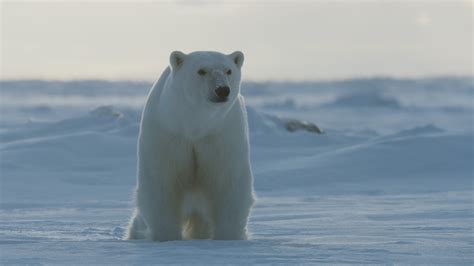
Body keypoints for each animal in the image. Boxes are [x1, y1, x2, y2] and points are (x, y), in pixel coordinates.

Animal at [124, 50, 254, 241]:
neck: (195, 125)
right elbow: (162, 184)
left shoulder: (221, 135)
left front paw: (228, 237)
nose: (222, 90)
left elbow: (228, 183)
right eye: (201, 71)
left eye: (228, 70)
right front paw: (166, 236)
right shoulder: (168, 132)